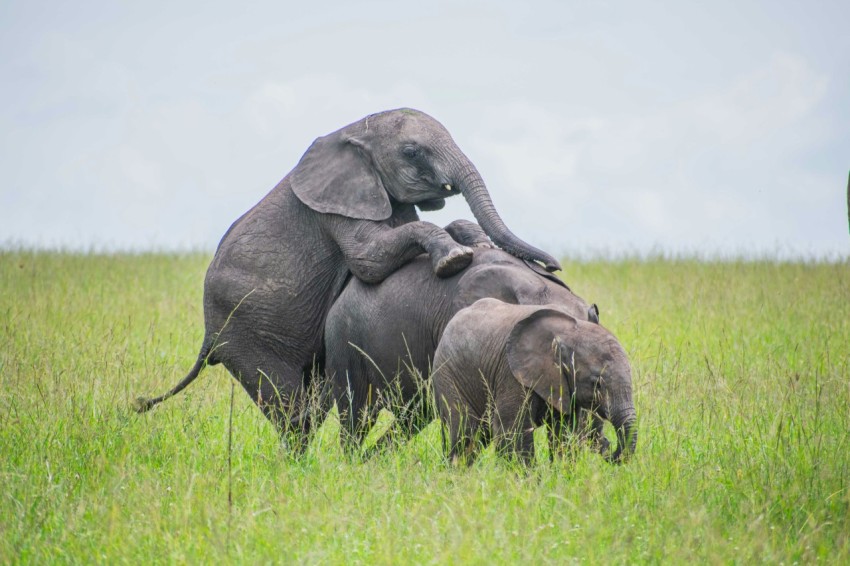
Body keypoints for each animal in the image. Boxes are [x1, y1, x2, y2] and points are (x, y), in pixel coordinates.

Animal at [135, 108, 561, 447]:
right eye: (412, 151)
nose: (554, 266)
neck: (356, 130)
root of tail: (207, 337)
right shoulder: (338, 207)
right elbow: (369, 259)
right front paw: (455, 259)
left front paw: (468, 240)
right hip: (246, 337)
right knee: (293, 409)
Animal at [432, 297, 637, 465]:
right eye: (596, 383)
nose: (607, 447)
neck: (568, 331)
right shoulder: (511, 373)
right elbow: (514, 429)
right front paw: (527, 482)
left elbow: (564, 432)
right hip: (449, 374)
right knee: (465, 431)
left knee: (479, 436)